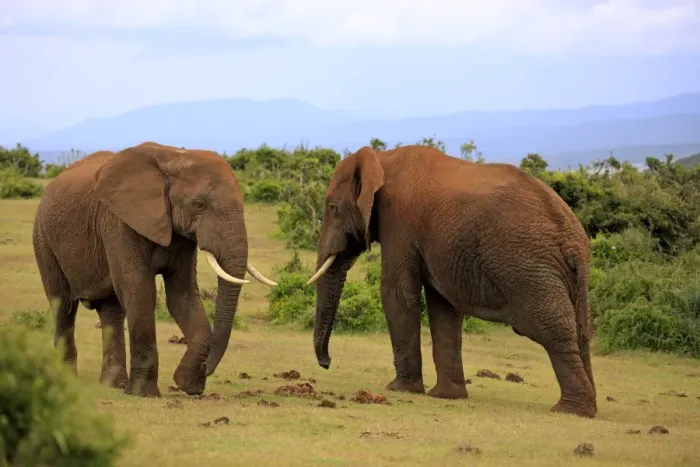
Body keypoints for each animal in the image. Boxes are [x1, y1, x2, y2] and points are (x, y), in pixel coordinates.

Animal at [32, 141, 277, 397]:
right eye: (199, 205)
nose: (205, 367)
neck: (174, 157)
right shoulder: (119, 223)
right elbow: (139, 290)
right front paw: (144, 393)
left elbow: (182, 296)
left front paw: (188, 385)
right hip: (43, 238)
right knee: (63, 306)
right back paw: (68, 380)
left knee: (111, 311)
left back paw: (114, 385)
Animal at [306, 144, 597, 418]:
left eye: (332, 209)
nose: (327, 363)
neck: (381, 158)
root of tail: (574, 238)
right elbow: (443, 307)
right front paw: (446, 396)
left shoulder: (399, 222)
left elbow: (397, 295)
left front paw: (400, 389)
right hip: (564, 276)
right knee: (579, 330)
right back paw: (588, 407)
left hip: (529, 267)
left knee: (550, 328)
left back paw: (571, 410)